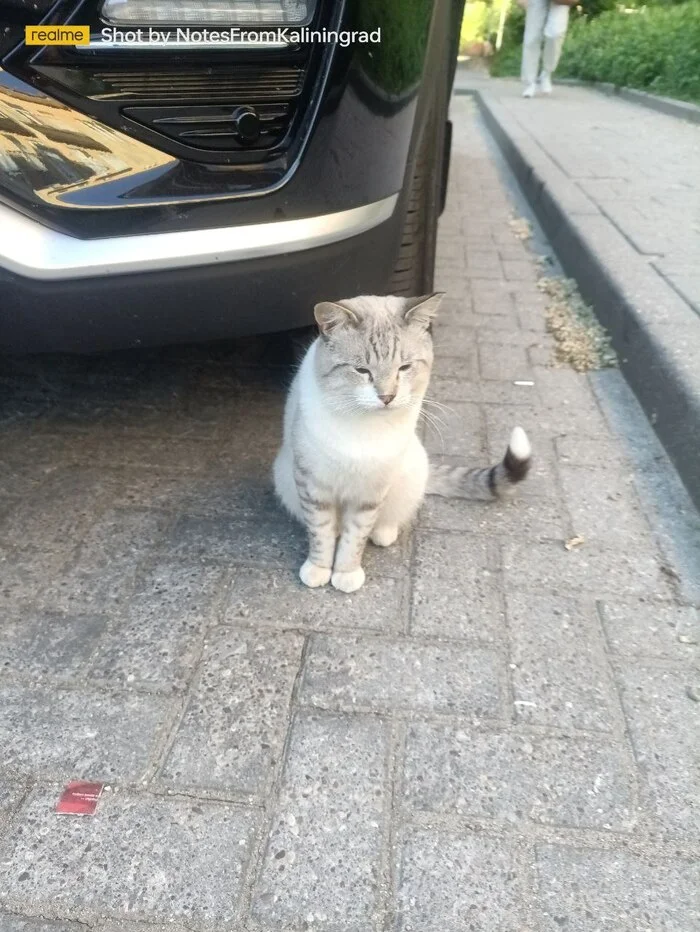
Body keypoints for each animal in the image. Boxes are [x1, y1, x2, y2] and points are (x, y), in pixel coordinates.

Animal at [274, 294, 532, 592]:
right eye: (362, 370)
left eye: (405, 368)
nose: (387, 397)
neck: (364, 427)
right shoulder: (314, 485)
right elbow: (321, 532)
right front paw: (319, 568)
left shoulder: (371, 491)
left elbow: (355, 537)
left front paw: (347, 572)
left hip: (411, 472)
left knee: (388, 519)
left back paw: (383, 532)